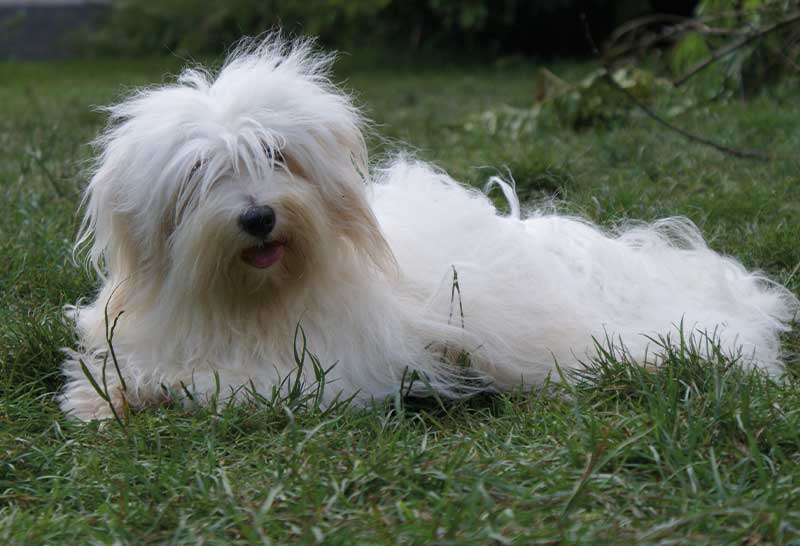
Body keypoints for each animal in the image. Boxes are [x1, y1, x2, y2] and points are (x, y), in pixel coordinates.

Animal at [59, 37, 796, 420]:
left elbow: (227, 388)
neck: (251, 302)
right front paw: (104, 396)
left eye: (276, 156)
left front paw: (162, 392)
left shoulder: (316, 371)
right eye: (202, 173)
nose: (259, 216)